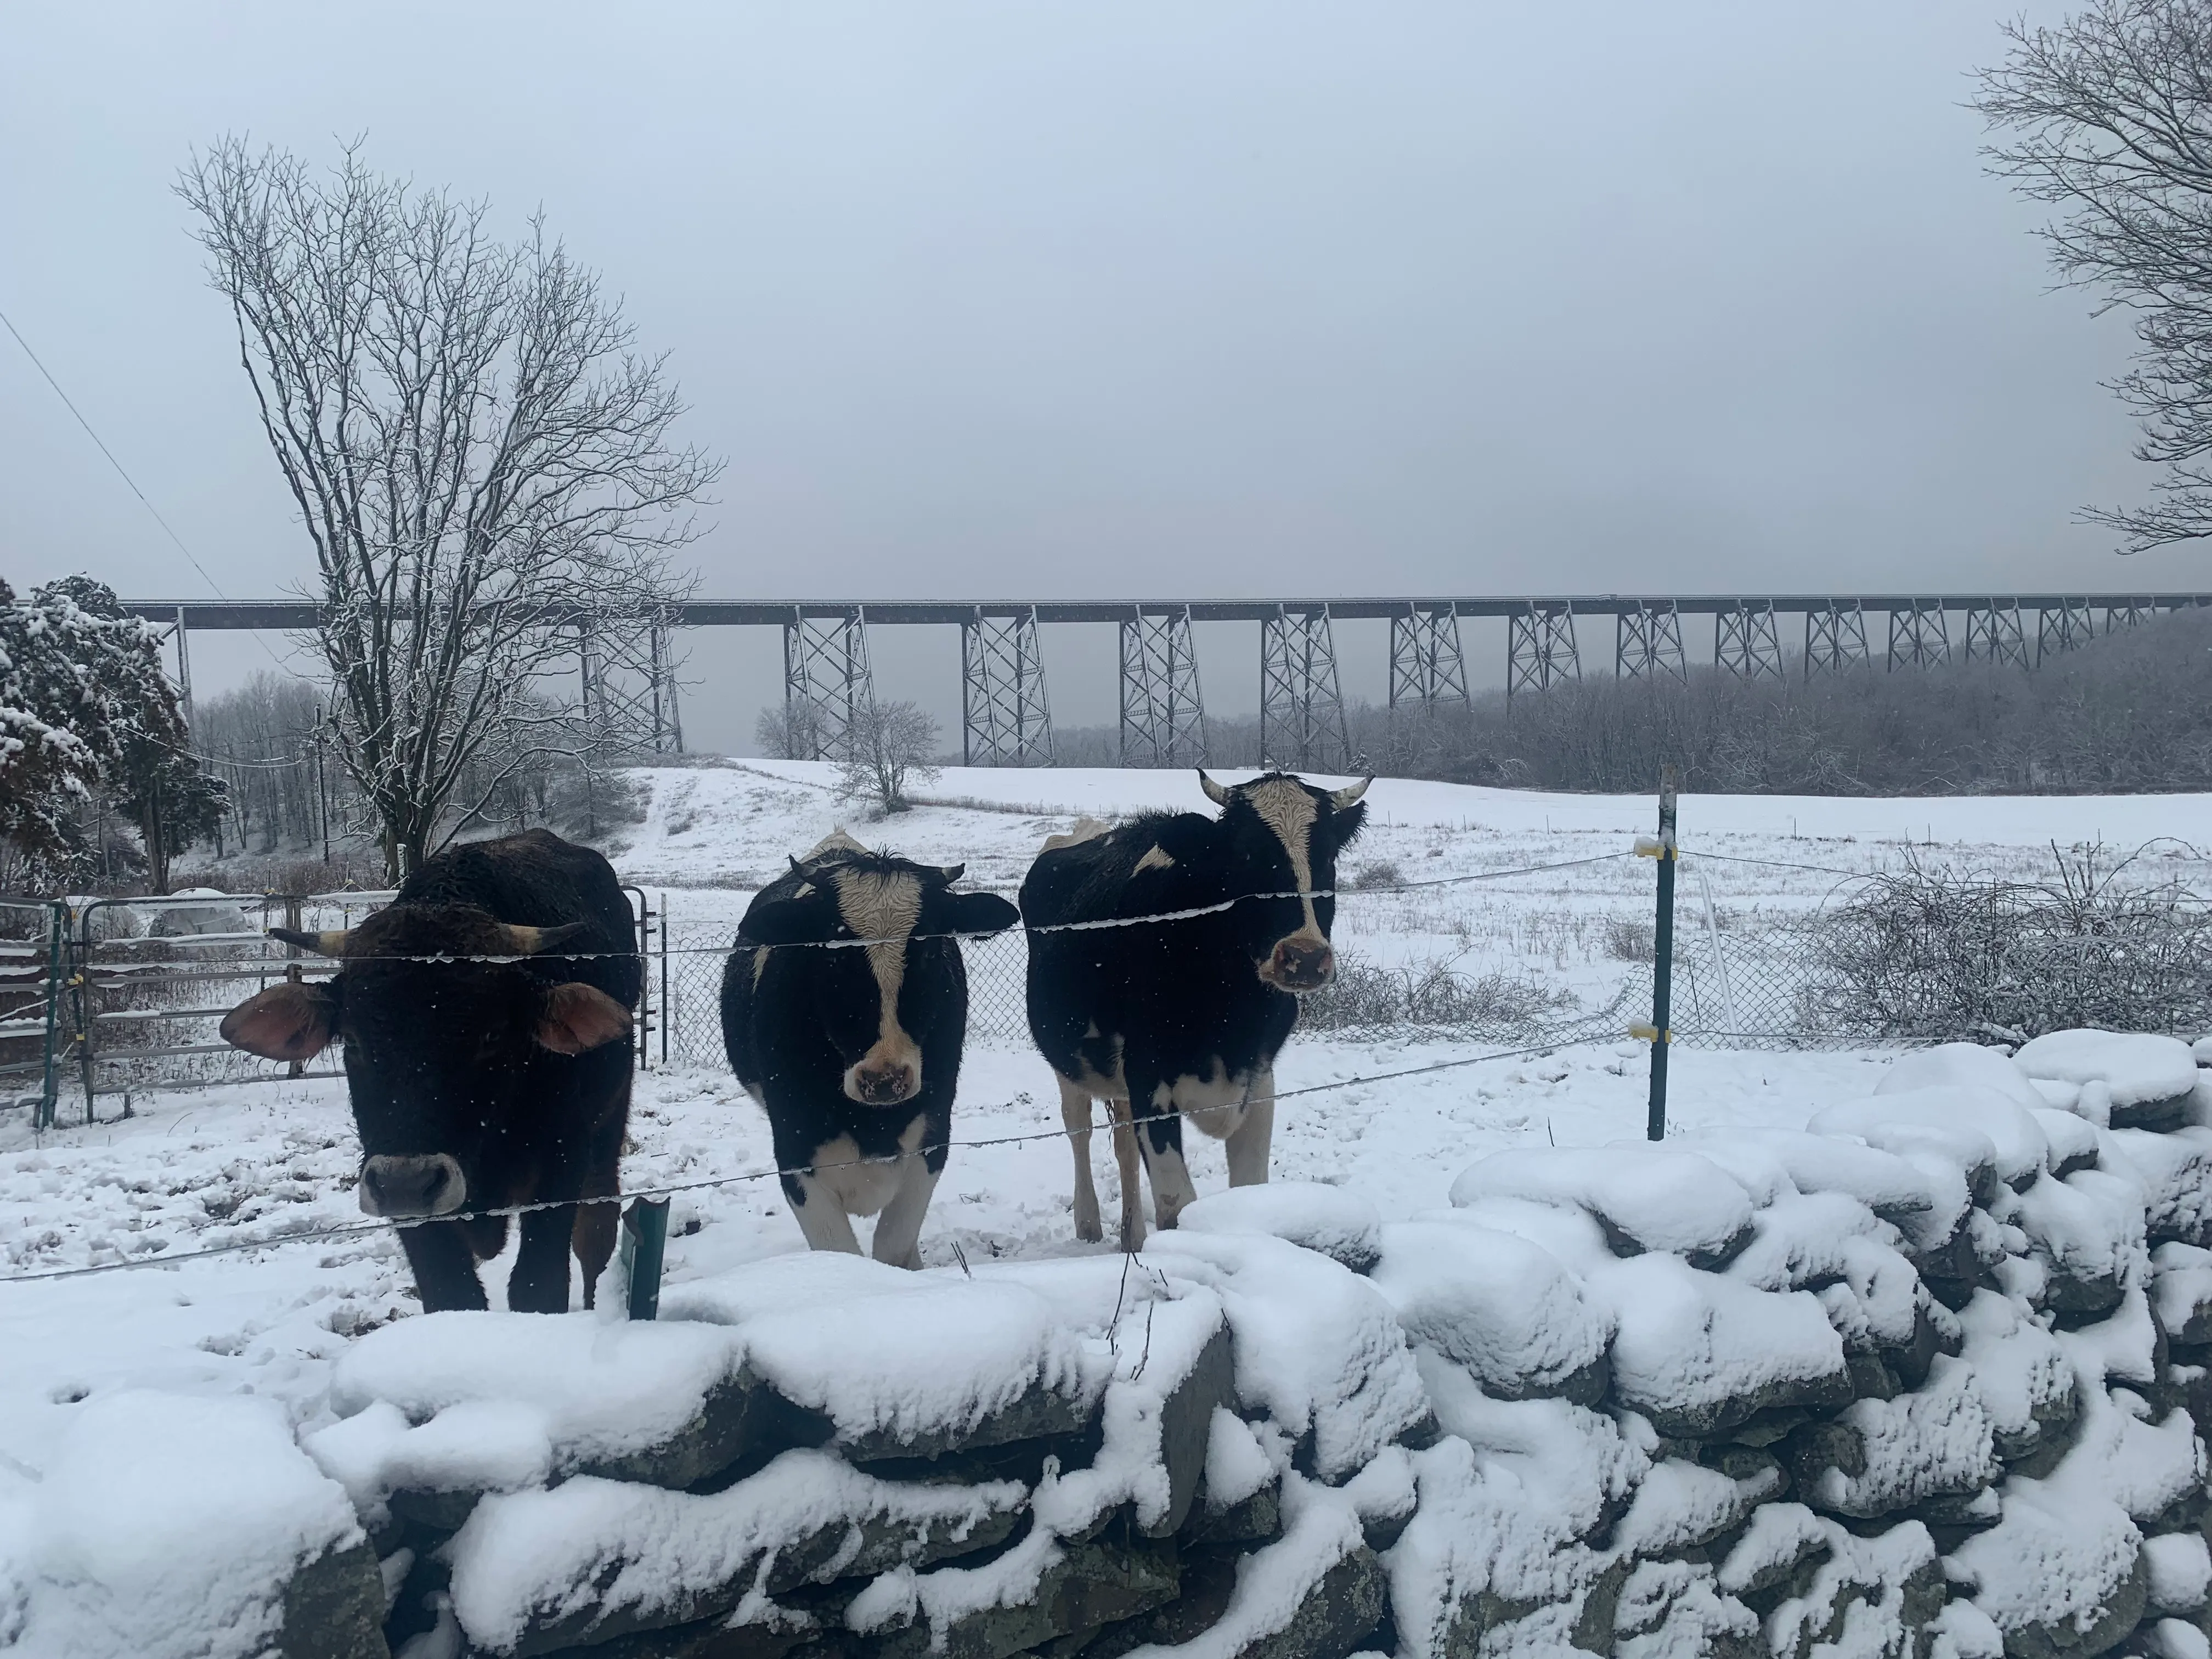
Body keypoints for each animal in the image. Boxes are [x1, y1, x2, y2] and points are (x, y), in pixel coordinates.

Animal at [215, 829, 639, 1313]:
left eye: (492, 1036)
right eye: (354, 1041)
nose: (407, 1184)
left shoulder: (560, 1164)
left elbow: (538, 1285)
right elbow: (451, 1294)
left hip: (607, 1126)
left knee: (597, 1228)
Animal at [722, 829, 1019, 1267]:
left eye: (931, 950)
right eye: (831, 952)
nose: (885, 1080)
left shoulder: (933, 1138)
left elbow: (894, 1246)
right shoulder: (794, 1150)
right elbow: (838, 1252)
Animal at [1020, 770, 1370, 1251]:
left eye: (1329, 855)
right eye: (1246, 854)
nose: (1304, 957)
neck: (1229, 1015)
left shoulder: (1258, 1078)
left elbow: (1249, 1190)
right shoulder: (1149, 1078)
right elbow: (1176, 1206)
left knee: (1123, 1142)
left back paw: (1132, 1237)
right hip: (1068, 1058)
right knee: (1079, 1127)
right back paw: (1089, 1226)